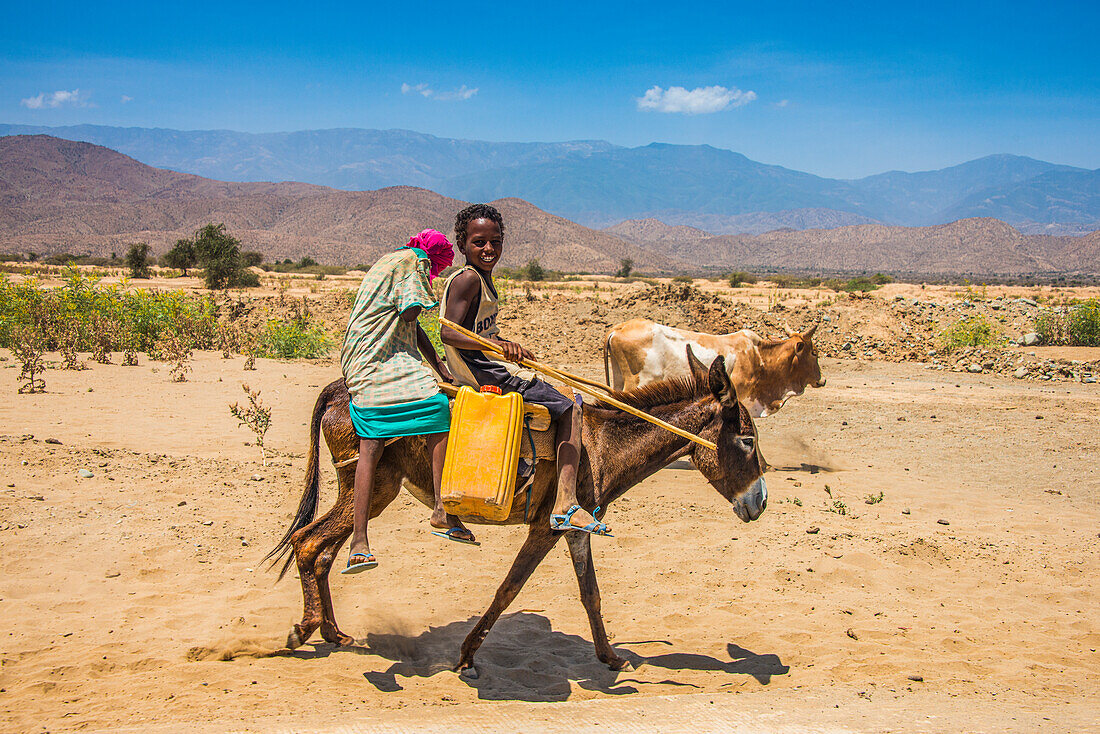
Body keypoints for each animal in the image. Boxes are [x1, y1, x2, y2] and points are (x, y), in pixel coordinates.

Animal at [602, 316, 827, 415]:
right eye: (814, 352)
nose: (822, 380)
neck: (759, 357)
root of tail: (618, 328)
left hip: (619, 378)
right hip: (639, 382)